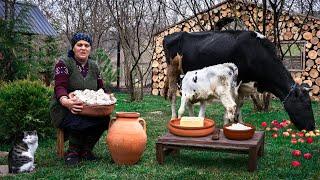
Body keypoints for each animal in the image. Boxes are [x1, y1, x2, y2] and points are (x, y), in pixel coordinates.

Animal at [164, 29, 316, 131]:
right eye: (306, 105)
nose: (312, 127)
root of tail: (171, 35)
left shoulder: (244, 85)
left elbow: (240, 104)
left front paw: (240, 122)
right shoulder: (235, 83)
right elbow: (233, 103)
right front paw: (228, 122)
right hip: (172, 70)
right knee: (172, 95)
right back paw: (174, 118)